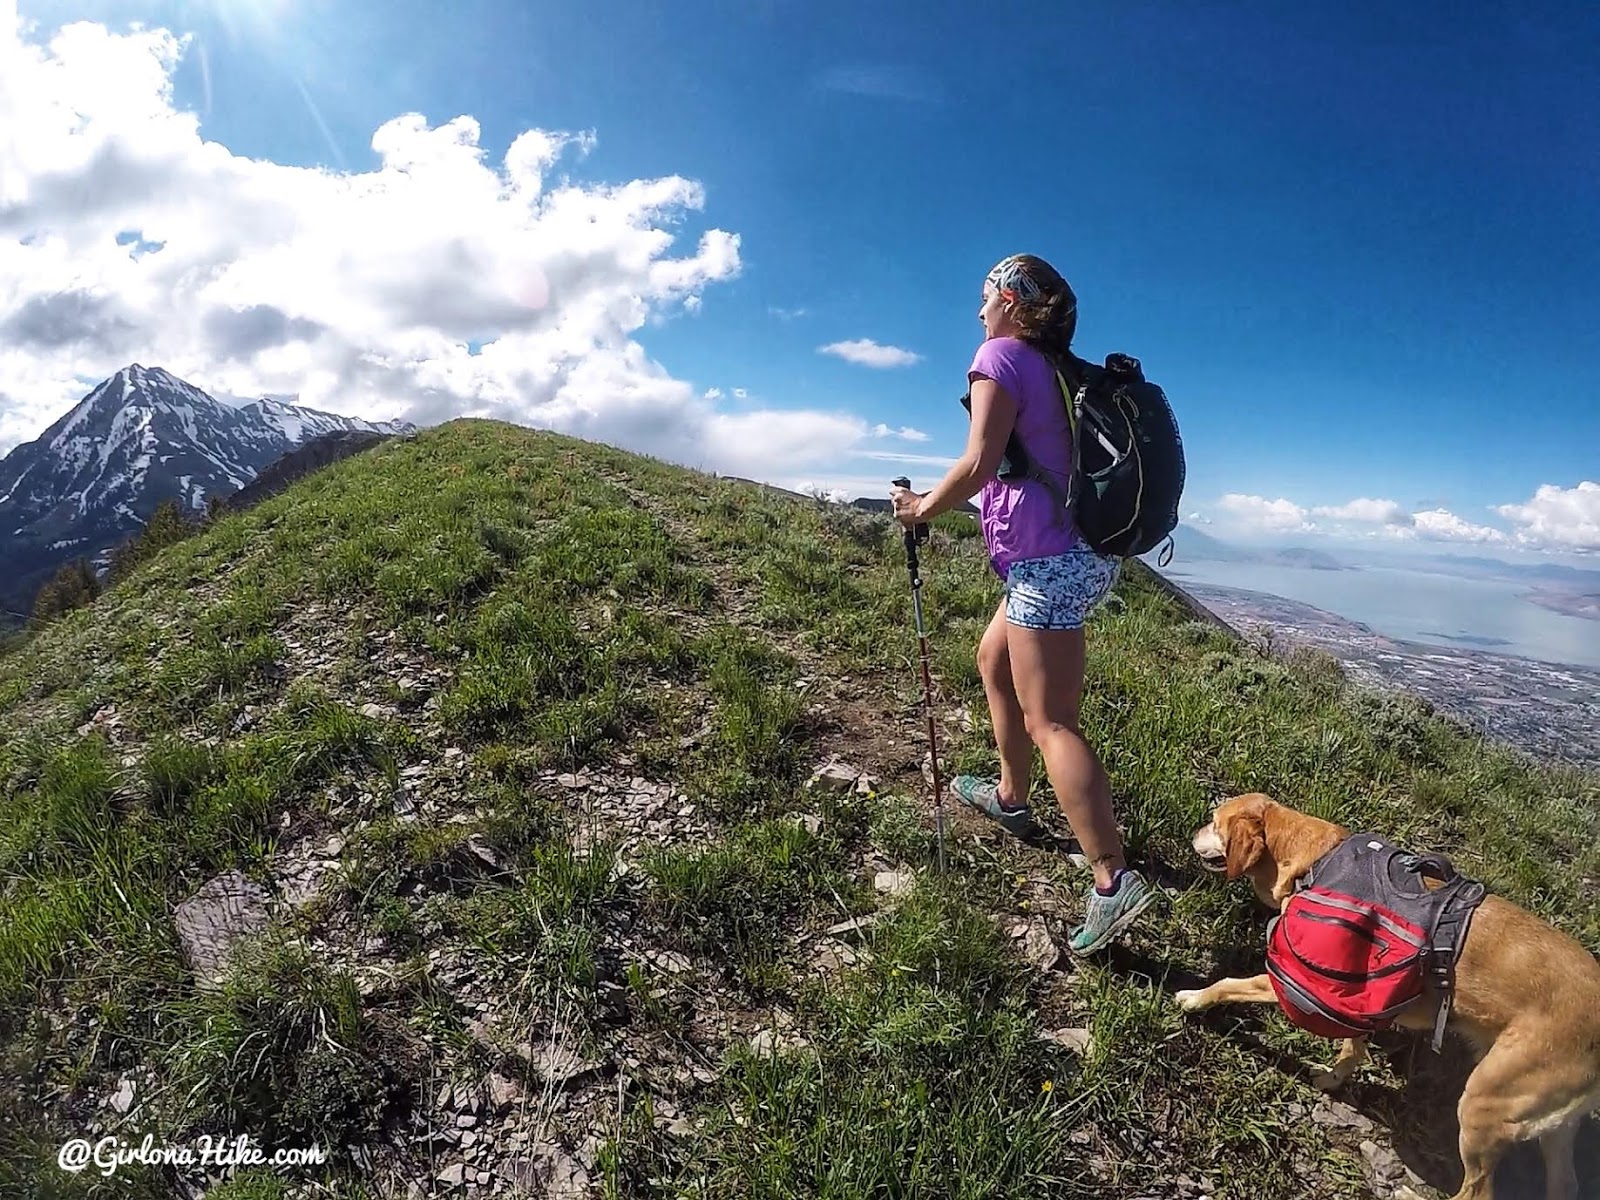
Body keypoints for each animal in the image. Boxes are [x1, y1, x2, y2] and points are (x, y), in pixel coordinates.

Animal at [1177, 800, 1600, 1200]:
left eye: (1214, 819)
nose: (1192, 831)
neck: (1315, 860)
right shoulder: (1356, 1000)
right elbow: (1353, 1048)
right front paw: (1334, 1078)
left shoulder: (1297, 982)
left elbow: (1229, 984)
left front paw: (1195, 998)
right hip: (1553, 1131)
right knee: (1565, 1186)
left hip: (1485, 1102)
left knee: (1476, 1191)